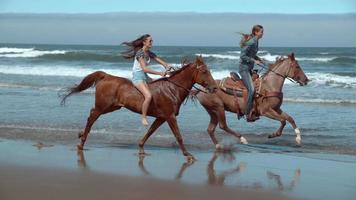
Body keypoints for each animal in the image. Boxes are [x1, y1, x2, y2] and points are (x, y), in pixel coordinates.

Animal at [60, 55, 217, 161]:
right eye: (204, 71)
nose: (214, 88)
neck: (172, 89)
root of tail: (106, 76)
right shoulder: (170, 117)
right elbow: (178, 136)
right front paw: (188, 155)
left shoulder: (161, 118)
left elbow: (150, 131)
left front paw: (141, 148)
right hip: (102, 107)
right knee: (92, 116)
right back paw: (81, 142)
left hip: (113, 107)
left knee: (91, 114)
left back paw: (81, 134)